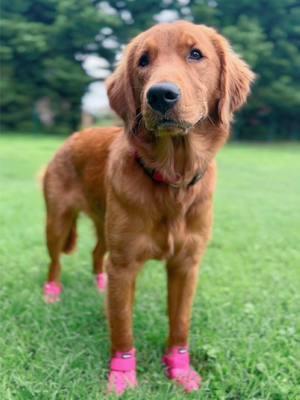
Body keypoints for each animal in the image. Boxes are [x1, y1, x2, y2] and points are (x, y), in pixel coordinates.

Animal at [42, 21, 253, 394]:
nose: (160, 95)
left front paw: (180, 368)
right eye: (143, 60)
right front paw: (123, 375)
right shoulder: (124, 265)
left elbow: (180, 324)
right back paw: (52, 293)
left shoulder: (186, 264)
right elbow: (122, 326)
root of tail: (74, 135)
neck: (172, 179)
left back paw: (98, 282)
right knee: (55, 261)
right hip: (57, 221)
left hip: (104, 225)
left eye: (196, 54)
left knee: (97, 253)